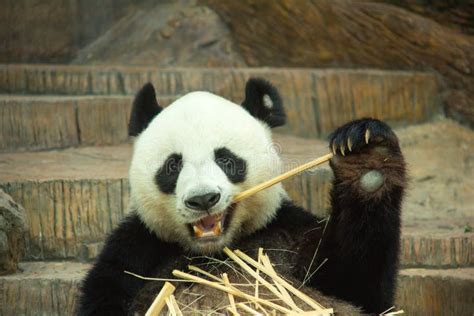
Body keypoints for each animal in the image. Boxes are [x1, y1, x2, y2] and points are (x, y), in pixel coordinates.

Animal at [78, 78, 408, 314]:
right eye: (173, 165)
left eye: (226, 160)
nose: (203, 199)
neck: (215, 251)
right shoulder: (134, 254)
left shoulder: (286, 233)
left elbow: (357, 285)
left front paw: (367, 159)